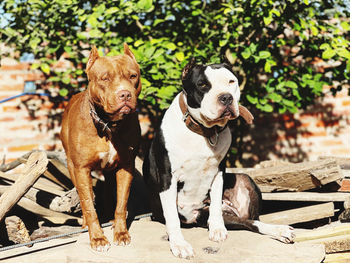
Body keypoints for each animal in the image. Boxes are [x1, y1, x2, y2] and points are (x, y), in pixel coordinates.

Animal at [59, 43, 141, 252]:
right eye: (105, 78)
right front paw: (97, 238)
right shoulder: (82, 170)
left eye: (132, 76)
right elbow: (89, 205)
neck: (108, 125)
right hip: (72, 168)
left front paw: (121, 233)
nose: (125, 94)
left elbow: (121, 202)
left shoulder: (126, 166)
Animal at [143, 58, 296, 258]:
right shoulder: (167, 178)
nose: (226, 97)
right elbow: (172, 218)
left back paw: (279, 230)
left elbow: (215, 202)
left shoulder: (218, 172)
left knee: (252, 222)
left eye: (231, 82)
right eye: (202, 85)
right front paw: (179, 244)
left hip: (244, 180)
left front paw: (217, 229)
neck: (205, 131)